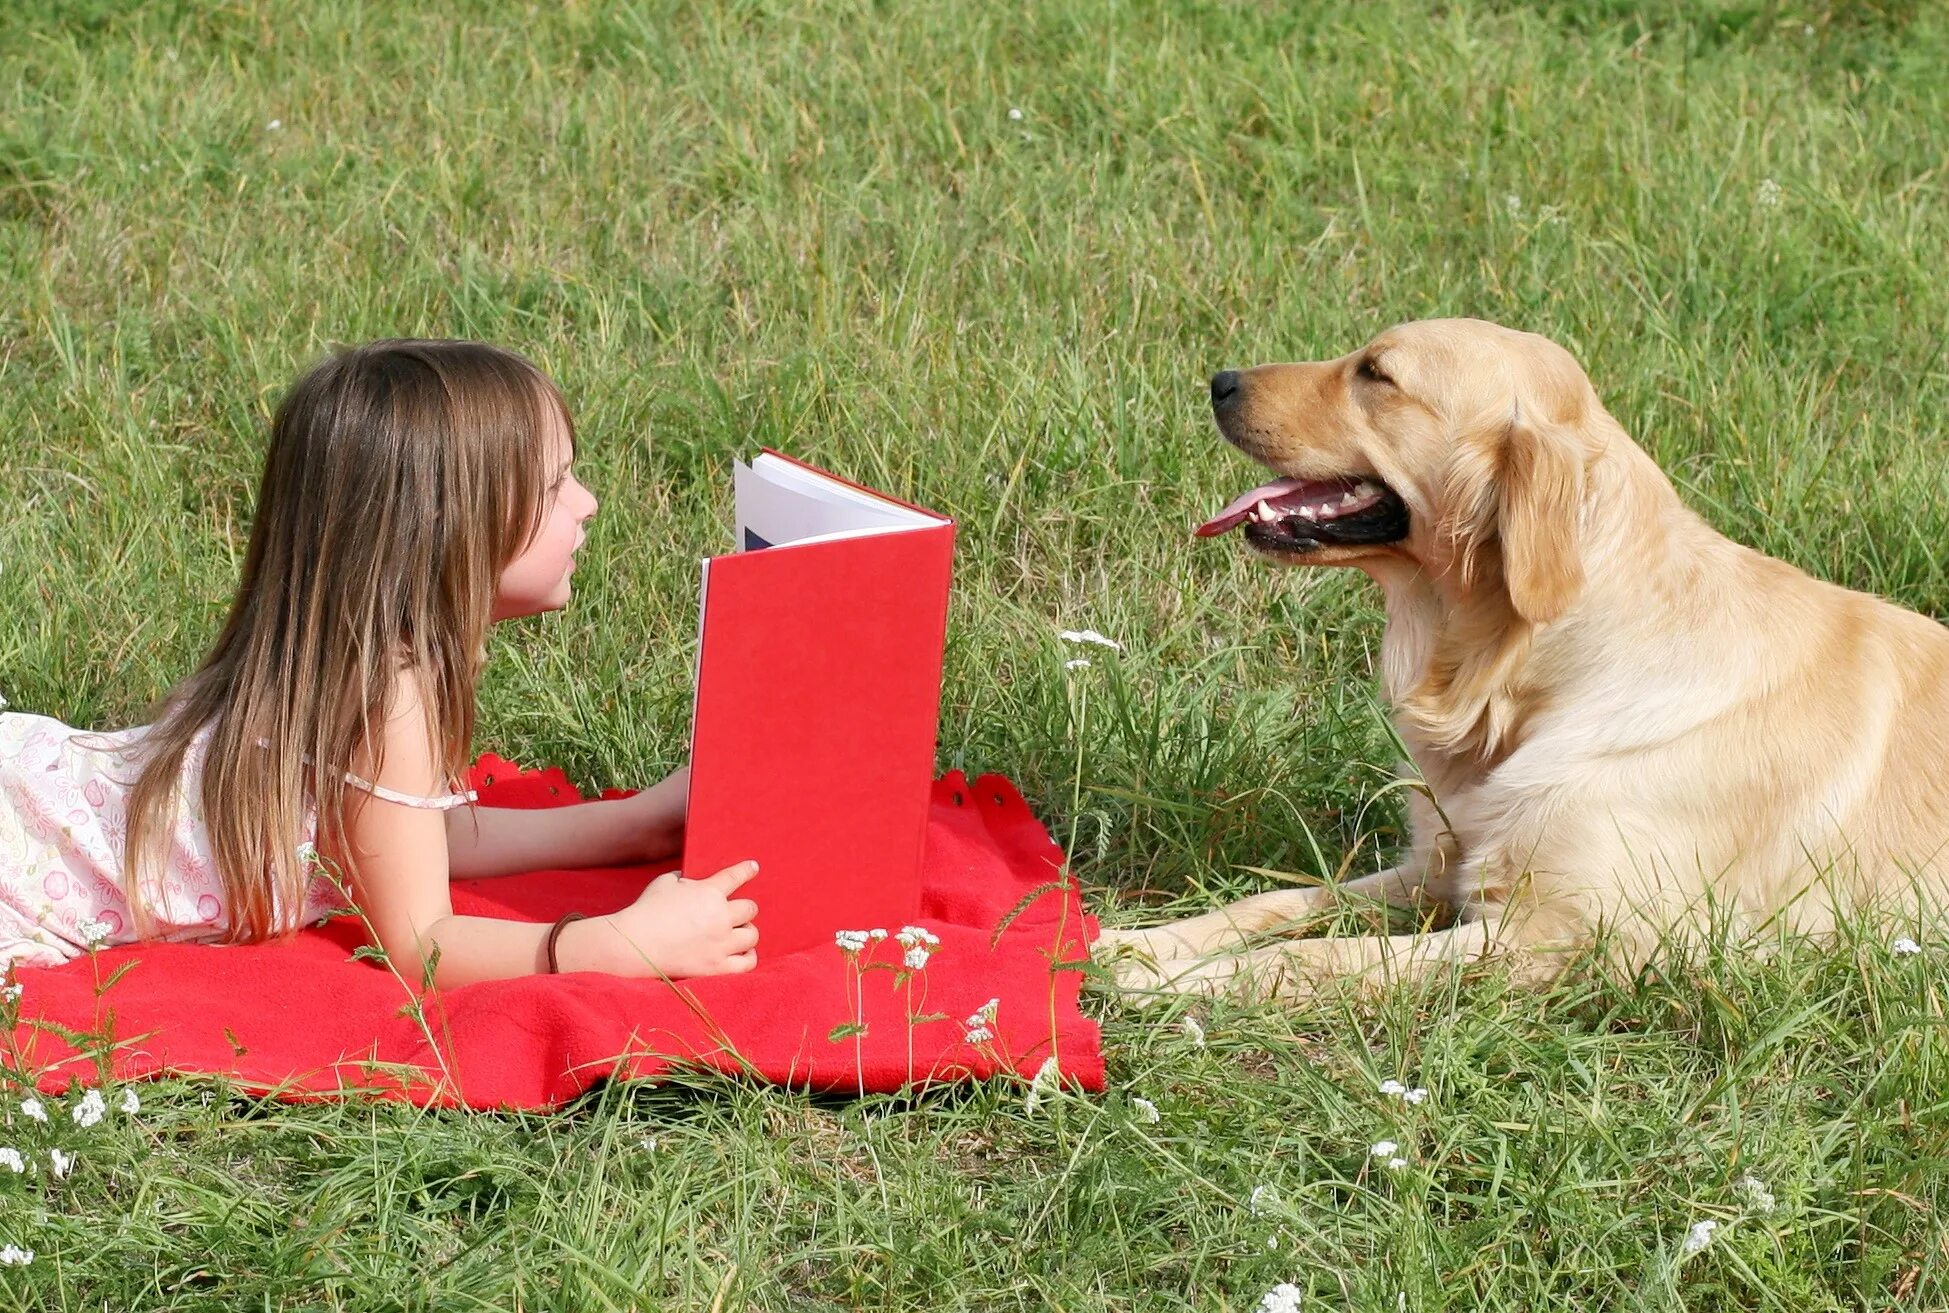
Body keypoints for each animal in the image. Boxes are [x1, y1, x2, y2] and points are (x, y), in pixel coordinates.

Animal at [1099, 321, 1949, 997]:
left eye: (1376, 373)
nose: (1220, 381)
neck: (1525, 681)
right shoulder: (1441, 862)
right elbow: (1273, 903)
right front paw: (1127, 945)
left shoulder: (1568, 937)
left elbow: (1318, 957)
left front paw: (1166, 982)